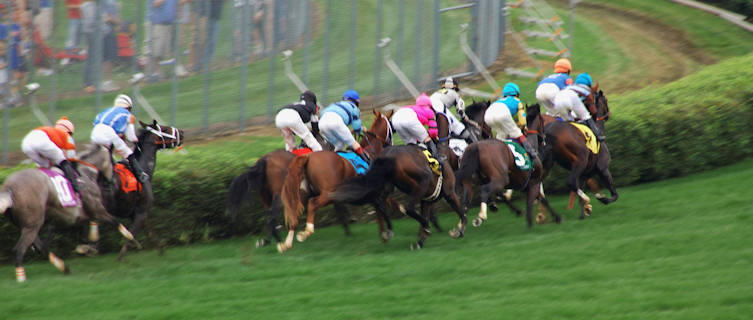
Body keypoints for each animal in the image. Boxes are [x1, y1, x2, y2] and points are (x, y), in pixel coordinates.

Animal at [0, 159, 142, 282]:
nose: (112, 182)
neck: (85, 173)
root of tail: (8, 188)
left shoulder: (75, 216)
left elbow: (85, 229)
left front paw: (87, 247)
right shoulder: (97, 210)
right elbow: (116, 223)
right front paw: (134, 241)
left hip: (28, 226)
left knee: (41, 247)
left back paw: (64, 267)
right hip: (32, 225)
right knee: (19, 249)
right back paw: (22, 278)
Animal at [79, 120, 184, 260]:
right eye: (164, 129)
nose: (182, 133)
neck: (143, 167)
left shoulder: (139, 214)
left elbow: (150, 233)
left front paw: (161, 250)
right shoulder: (141, 213)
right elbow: (131, 236)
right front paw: (121, 257)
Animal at [278, 110, 394, 252]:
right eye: (391, 127)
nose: (391, 144)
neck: (371, 152)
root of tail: (308, 157)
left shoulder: (371, 196)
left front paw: (383, 235)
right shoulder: (375, 194)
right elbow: (382, 211)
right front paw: (386, 233)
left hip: (303, 193)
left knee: (295, 212)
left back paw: (286, 243)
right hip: (328, 193)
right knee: (312, 204)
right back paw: (306, 231)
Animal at [332, 144, 468, 251]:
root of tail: (387, 156)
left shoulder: (427, 200)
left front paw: (420, 241)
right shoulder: (449, 193)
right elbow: (461, 213)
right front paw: (459, 231)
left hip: (388, 185)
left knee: (379, 202)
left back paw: (389, 231)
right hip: (422, 180)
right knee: (408, 208)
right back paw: (424, 225)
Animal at [528, 85, 616, 220]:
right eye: (605, 100)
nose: (608, 114)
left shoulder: (585, 174)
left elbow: (579, 189)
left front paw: (584, 211)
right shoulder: (603, 168)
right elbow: (614, 194)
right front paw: (601, 198)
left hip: (547, 164)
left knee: (538, 187)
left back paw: (550, 216)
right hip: (581, 159)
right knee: (570, 182)